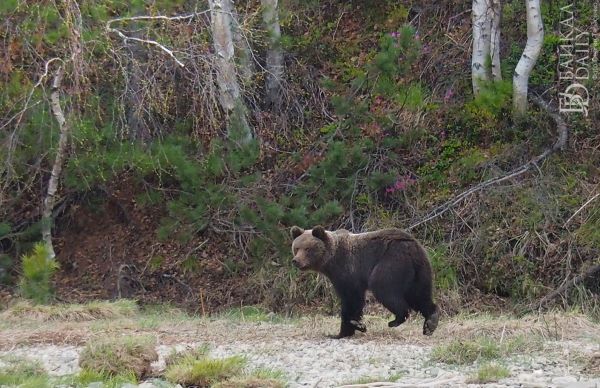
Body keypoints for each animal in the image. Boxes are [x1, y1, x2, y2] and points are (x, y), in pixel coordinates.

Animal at [292, 226, 440, 338]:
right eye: (296, 248)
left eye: (307, 249)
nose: (296, 261)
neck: (330, 261)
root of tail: (410, 244)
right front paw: (356, 325)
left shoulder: (347, 270)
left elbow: (351, 299)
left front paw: (344, 331)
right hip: (421, 269)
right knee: (419, 295)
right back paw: (430, 323)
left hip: (391, 262)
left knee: (383, 288)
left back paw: (395, 319)